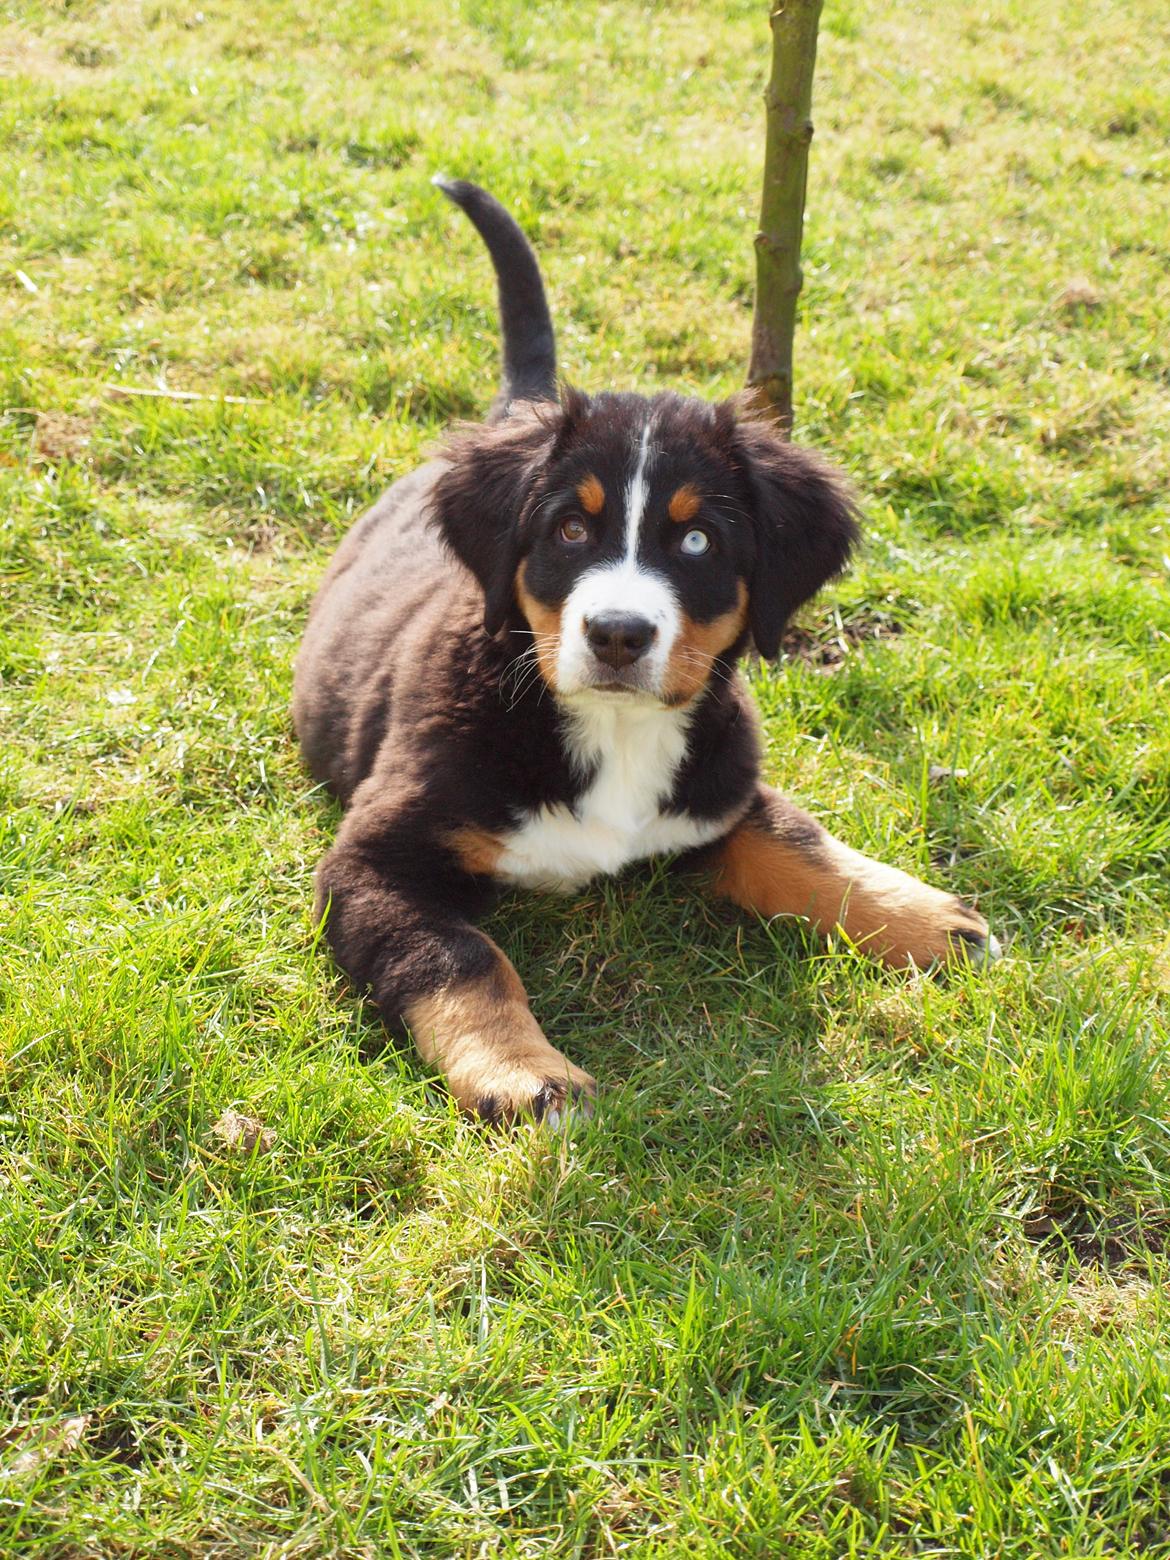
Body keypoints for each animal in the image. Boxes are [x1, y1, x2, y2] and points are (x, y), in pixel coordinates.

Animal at [294, 179, 998, 1123]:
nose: (619, 634)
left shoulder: (723, 788)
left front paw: (926, 917)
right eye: (570, 529)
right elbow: (460, 959)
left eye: (697, 541)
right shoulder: (374, 862)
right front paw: (524, 1075)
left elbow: (800, 845)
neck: (617, 735)